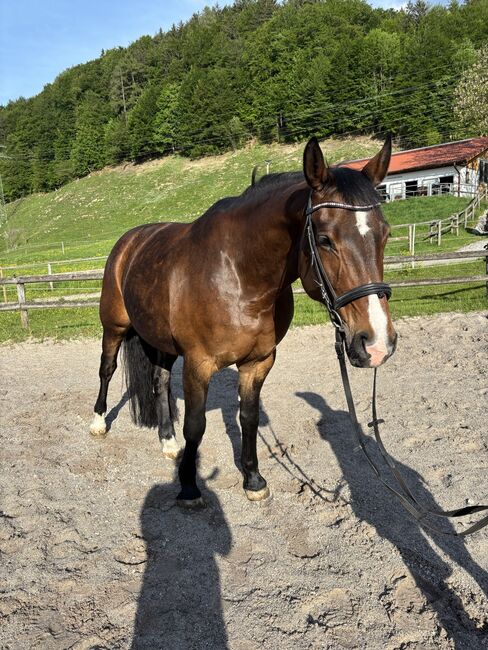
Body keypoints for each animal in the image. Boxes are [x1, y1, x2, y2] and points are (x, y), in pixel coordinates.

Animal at [89, 136, 397, 508]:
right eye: (325, 240)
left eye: (385, 234)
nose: (377, 343)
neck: (239, 276)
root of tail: (129, 242)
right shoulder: (198, 364)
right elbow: (196, 426)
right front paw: (189, 487)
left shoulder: (258, 361)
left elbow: (248, 419)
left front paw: (252, 479)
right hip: (114, 327)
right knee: (107, 370)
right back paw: (98, 422)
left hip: (160, 340)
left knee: (160, 382)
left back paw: (168, 440)